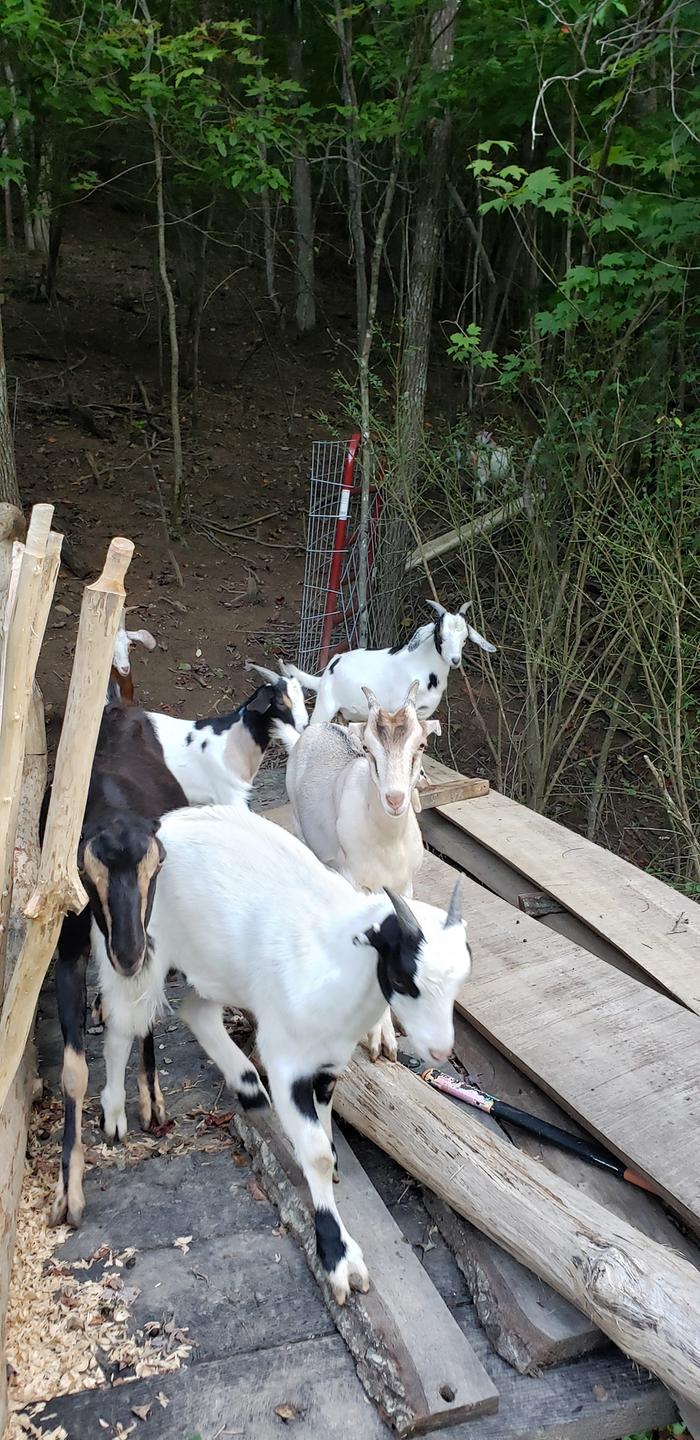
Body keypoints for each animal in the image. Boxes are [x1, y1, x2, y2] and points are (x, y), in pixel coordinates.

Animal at [45, 702, 187, 1228]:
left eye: (156, 867)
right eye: (89, 874)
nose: (127, 953)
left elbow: (145, 1016)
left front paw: (150, 1102)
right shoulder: (68, 948)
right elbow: (73, 1072)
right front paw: (69, 1193)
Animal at [95, 801, 471, 1305]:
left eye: (461, 977)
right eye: (404, 977)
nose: (439, 1047)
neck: (331, 960)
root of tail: (164, 824)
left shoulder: (328, 1061)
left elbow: (325, 1129)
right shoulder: (288, 1060)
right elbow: (315, 1154)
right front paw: (338, 1259)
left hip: (218, 970)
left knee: (197, 1010)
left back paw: (248, 1087)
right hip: (135, 952)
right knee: (123, 1023)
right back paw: (115, 1113)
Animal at [286, 600, 496, 724]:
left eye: (465, 639)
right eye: (440, 636)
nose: (455, 660)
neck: (423, 665)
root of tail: (327, 671)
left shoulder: (422, 713)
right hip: (325, 707)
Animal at [286, 680, 440, 1061]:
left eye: (421, 746)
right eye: (369, 749)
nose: (395, 799)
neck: (386, 842)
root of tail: (315, 729)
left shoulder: (404, 885)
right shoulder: (356, 882)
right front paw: (379, 1036)